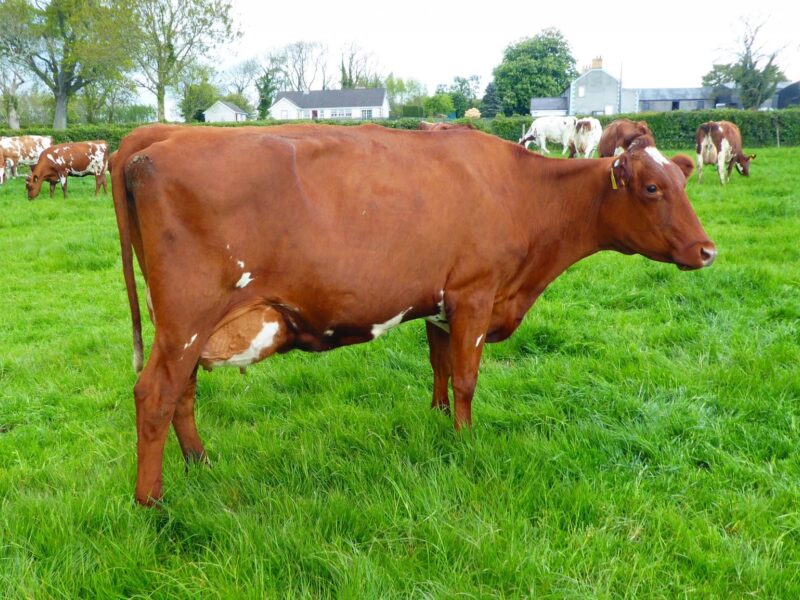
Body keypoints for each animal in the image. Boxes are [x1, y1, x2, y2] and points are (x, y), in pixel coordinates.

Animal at [112, 124, 716, 505]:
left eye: (684, 183)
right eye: (652, 187)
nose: (707, 250)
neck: (518, 191)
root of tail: (150, 142)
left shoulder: (441, 303)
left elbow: (440, 365)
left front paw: (438, 421)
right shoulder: (475, 293)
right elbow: (468, 377)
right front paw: (466, 441)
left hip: (183, 326)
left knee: (182, 391)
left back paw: (199, 463)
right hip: (187, 319)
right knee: (156, 394)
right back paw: (151, 502)